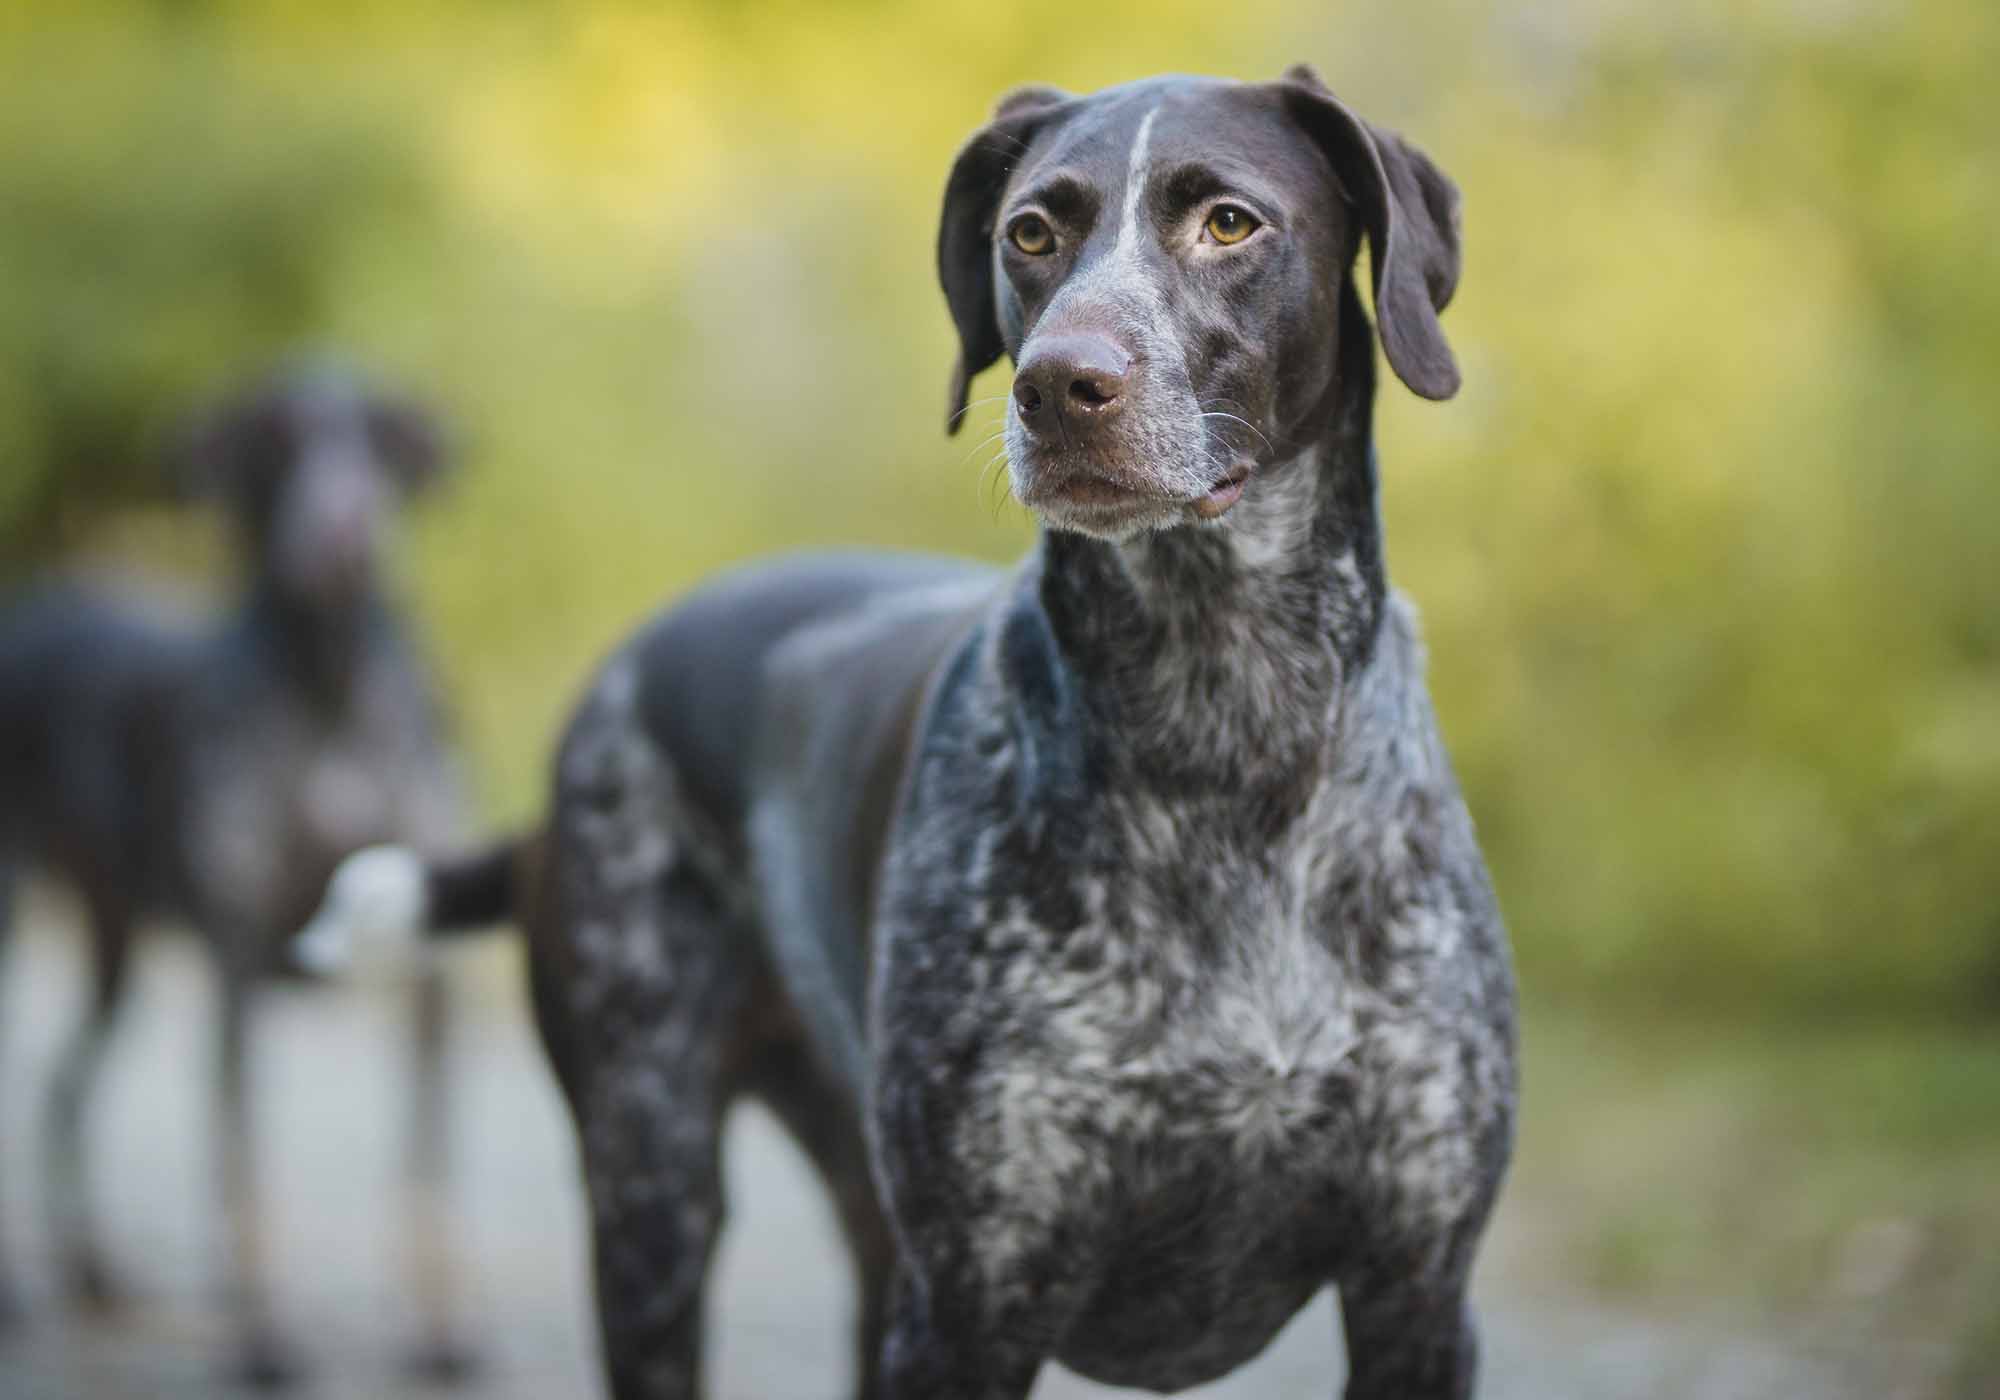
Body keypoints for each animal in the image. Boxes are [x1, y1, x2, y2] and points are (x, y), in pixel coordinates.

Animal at [0, 360, 476, 1392]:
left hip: (114, 946)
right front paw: (264, 1343)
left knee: (61, 1088)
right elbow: (244, 1169)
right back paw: (25, 1289)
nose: (345, 533)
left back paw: (95, 1272)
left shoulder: (430, 974)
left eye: (382, 439)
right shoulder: (239, 968)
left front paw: (441, 1336)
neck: (329, 686)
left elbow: (429, 1171)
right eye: (276, 438)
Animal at [304, 68, 1504, 1400]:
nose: (1057, 385)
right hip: (655, 1194)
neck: (1223, 721)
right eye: (1029, 233)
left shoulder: (1416, 1290)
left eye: (1229, 223)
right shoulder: (971, 1300)